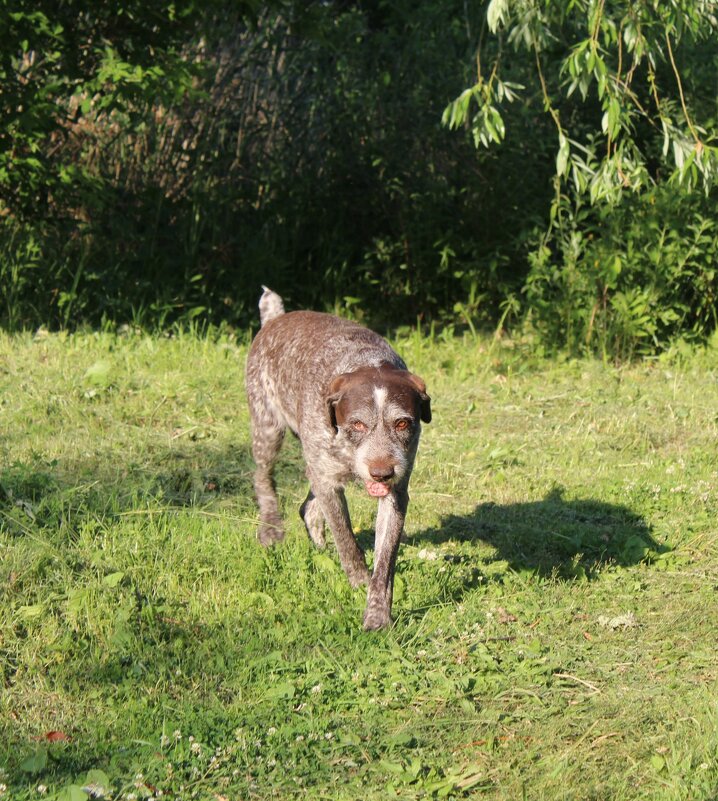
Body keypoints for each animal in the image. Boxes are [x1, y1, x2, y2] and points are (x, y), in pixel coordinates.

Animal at [246, 288, 434, 632]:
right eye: (357, 424)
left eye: (402, 423)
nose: (382, 473)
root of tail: (275, 318)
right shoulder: (329, 481)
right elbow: (347, 541)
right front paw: (359, 582)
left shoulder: (396, 493)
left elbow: (384, 562)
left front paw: (377, 612)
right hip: (268, 429)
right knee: (263, 478)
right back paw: (271, 529)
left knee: (307, 507)